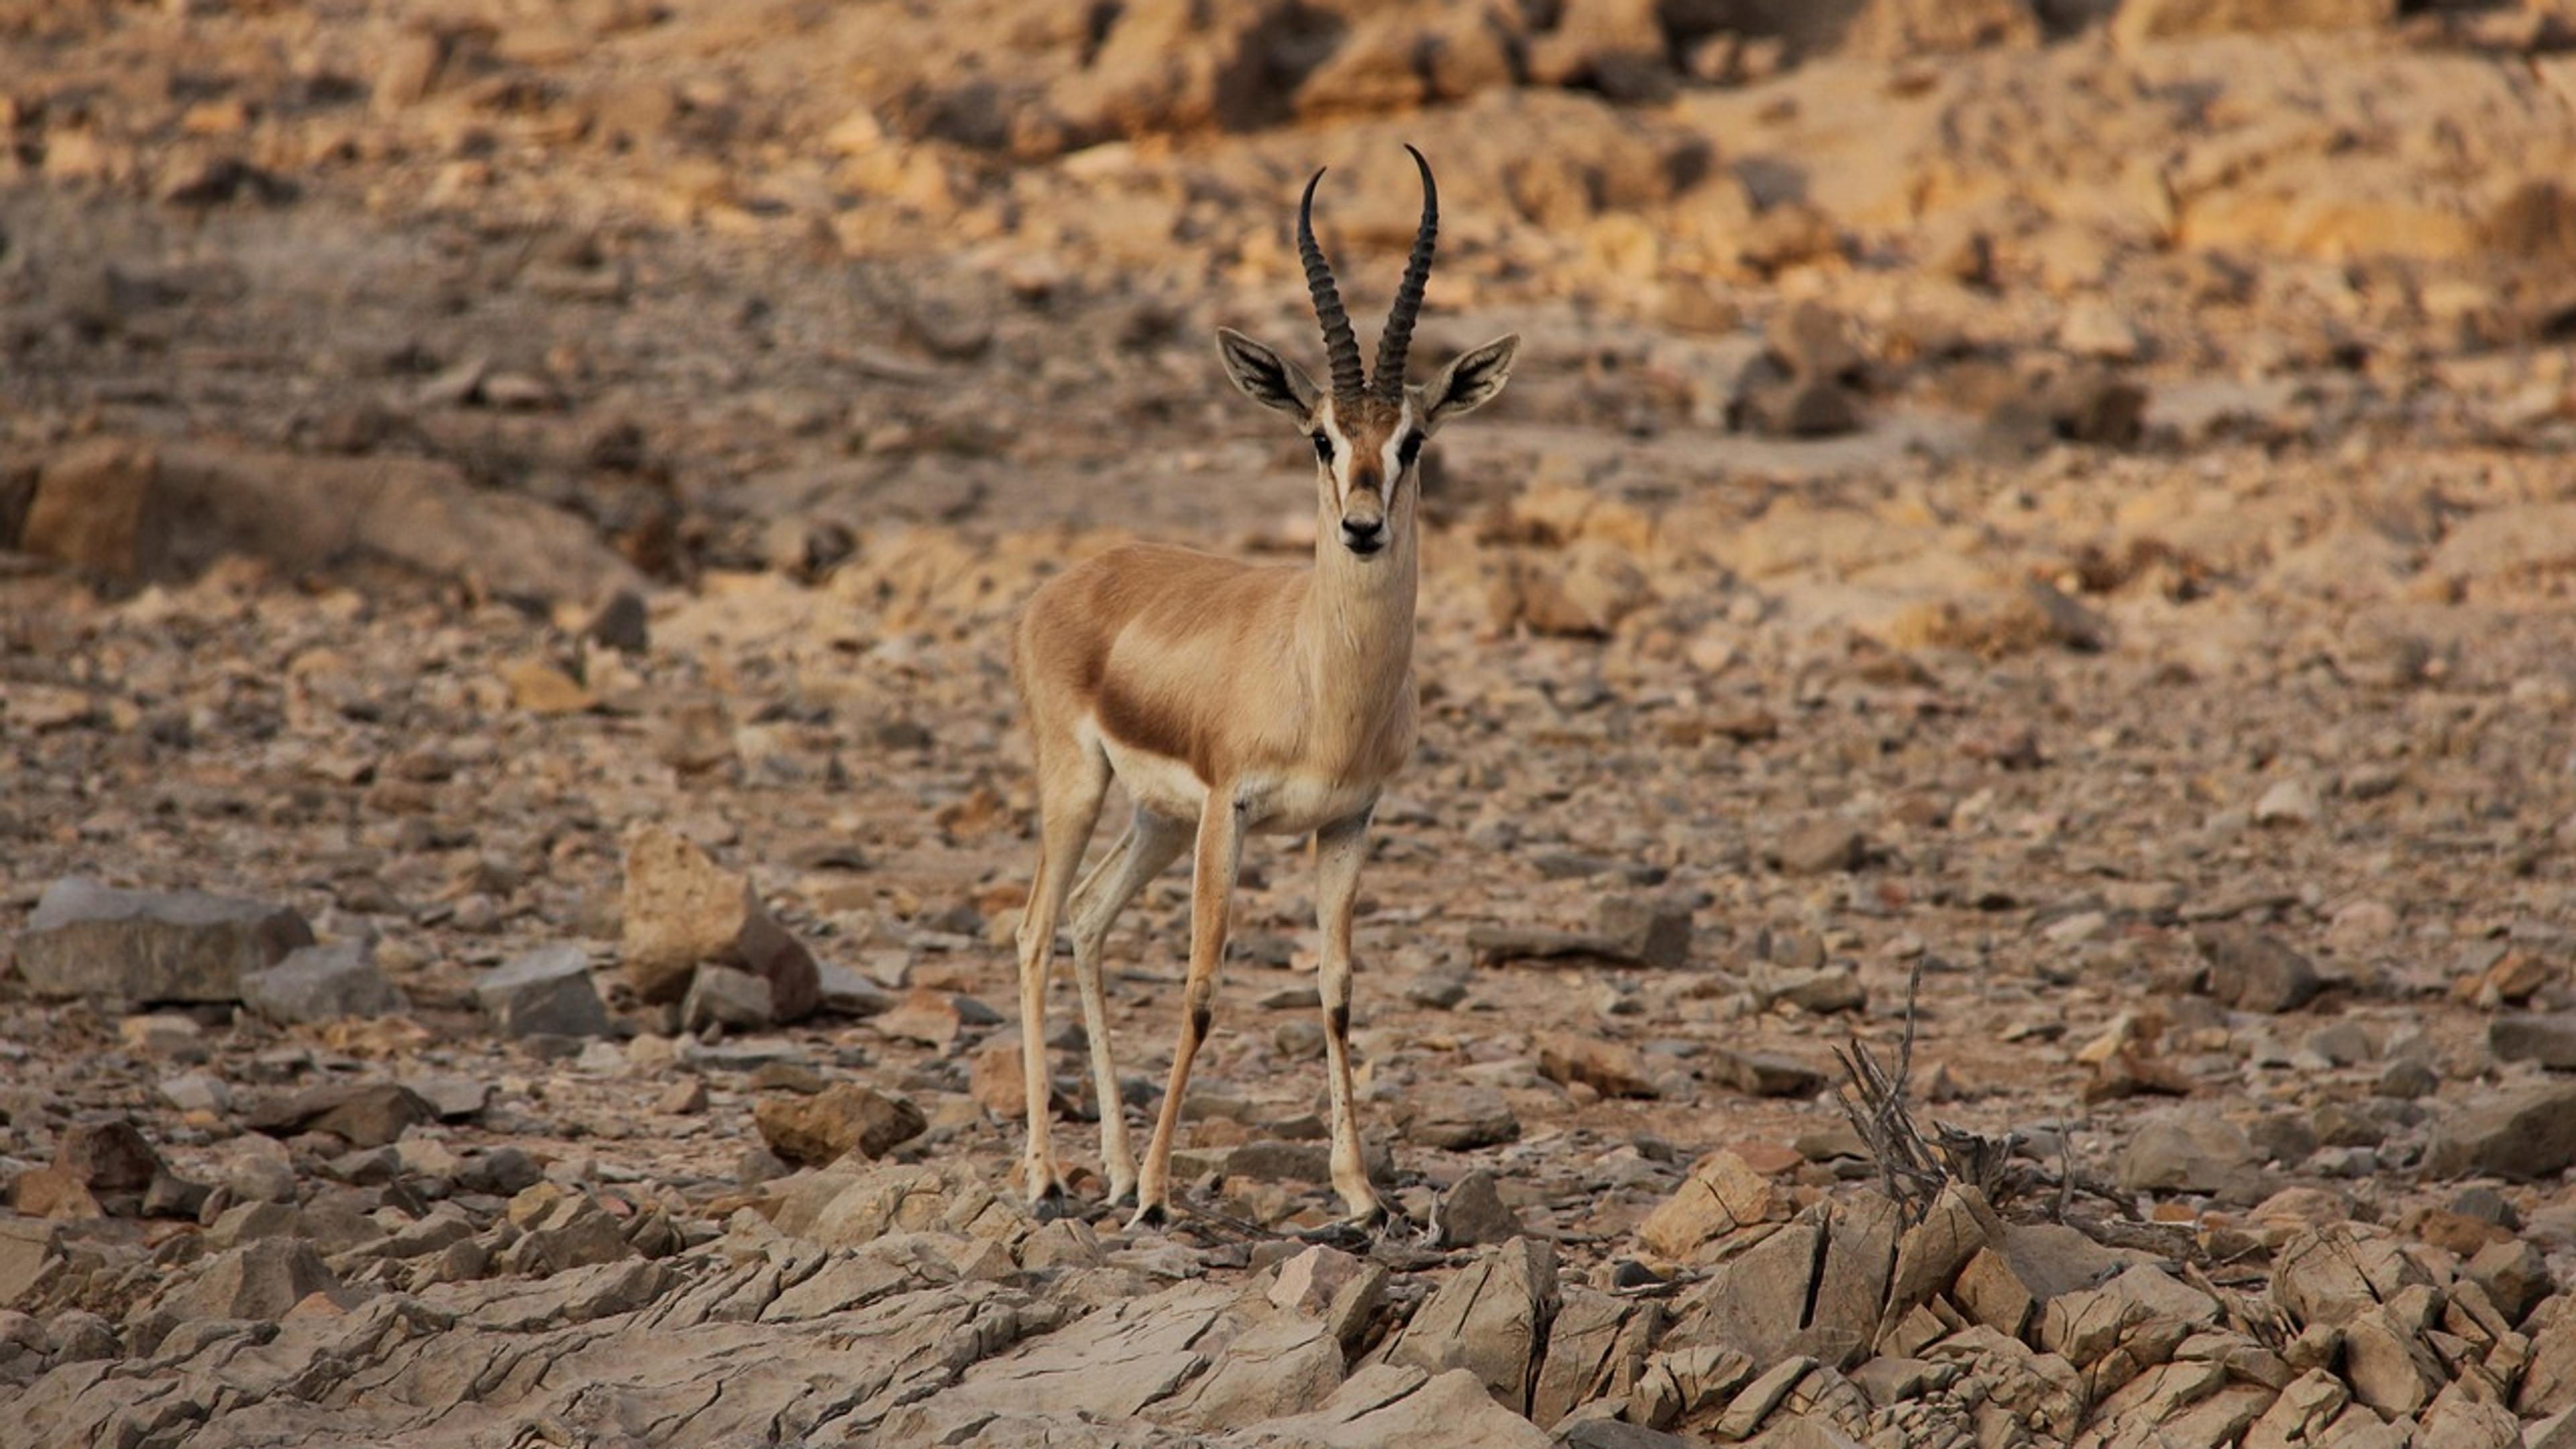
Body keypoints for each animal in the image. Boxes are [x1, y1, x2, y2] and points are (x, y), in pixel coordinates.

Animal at [1008, 148, 1519, 1231]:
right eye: (1320, 437)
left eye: (1414, 439)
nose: (1363, 527)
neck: (1325, 682)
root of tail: (1070, 581)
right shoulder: (1228, 813)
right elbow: (1202, 987)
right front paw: (1163, 1196)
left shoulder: (1349, 821)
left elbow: (1336, 990)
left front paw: (1360, 1191)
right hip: (1081, 787)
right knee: (1033, 930)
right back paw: (1049, 1175)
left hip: (1154, 820)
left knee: (1086, 921)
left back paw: (1112, 1166)